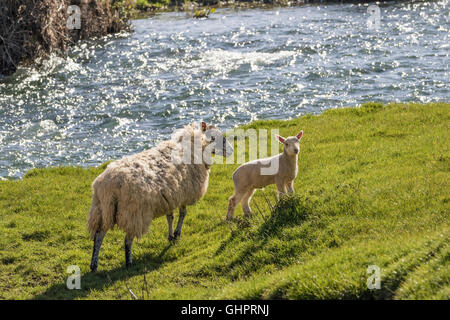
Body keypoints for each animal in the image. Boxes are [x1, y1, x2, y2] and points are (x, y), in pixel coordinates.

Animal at [89, 121, 234, 272]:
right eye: (214, 138)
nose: (231, 151)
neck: (194, 148)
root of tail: (111, 184)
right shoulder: (184, 193)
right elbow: (183, 214)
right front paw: (177, 234)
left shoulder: (170, 196)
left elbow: (170, 217)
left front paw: (171, 236)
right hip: (133, 212)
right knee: (127, 240)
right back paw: (129, 263)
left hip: (103, 210)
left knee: (99, 235)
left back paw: (94, 265)